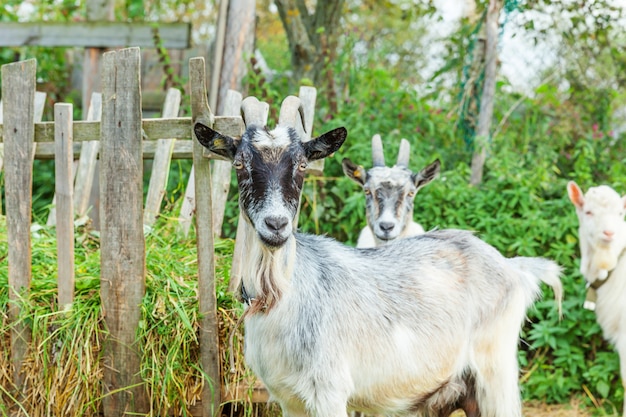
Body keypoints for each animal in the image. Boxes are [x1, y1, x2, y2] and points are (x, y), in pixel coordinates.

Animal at [194, 117, 560, 416]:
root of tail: (513, 267)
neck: (283, 295)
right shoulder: (289, 399)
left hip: (494, 373)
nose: (276, 224)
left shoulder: (330, 392)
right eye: (239, 163)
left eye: (301, 165)